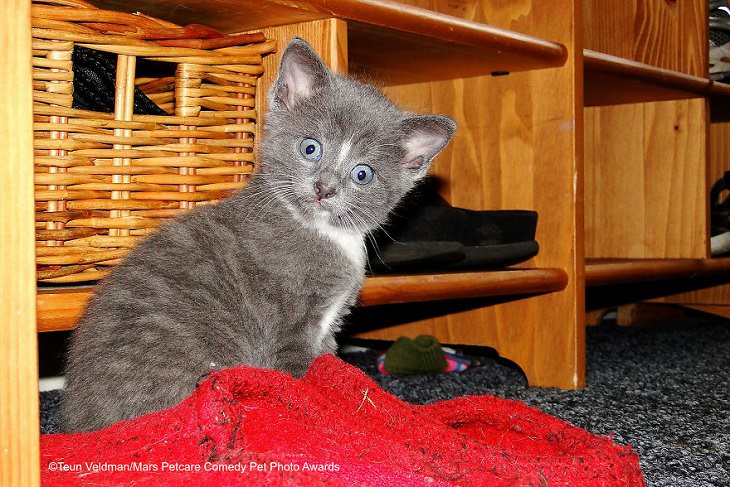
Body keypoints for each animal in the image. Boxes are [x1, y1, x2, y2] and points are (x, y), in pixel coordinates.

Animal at [61, 39, 456, 434]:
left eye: (363, 174)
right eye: (310, 148)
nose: (324, 188)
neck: (322, 230)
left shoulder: (328, 324)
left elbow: (327, 361)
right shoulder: (288, 322)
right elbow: (298, 371)